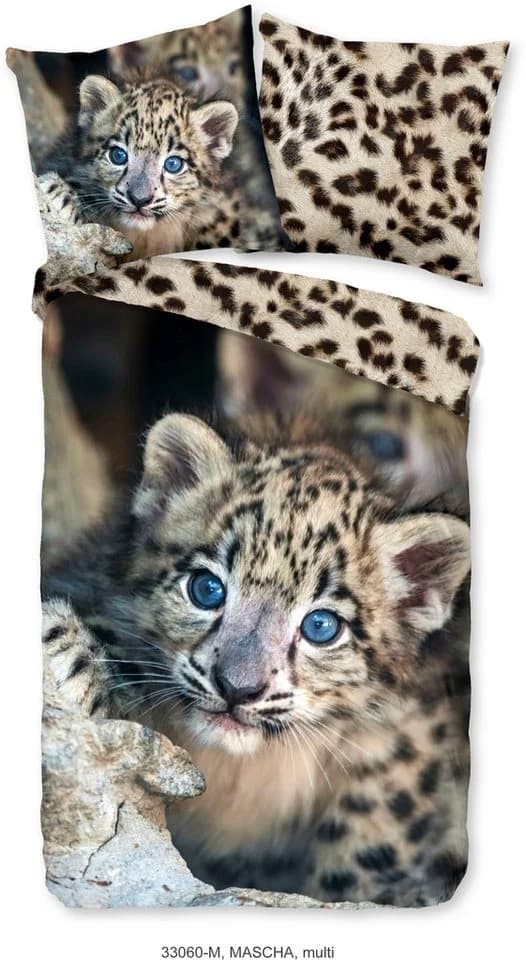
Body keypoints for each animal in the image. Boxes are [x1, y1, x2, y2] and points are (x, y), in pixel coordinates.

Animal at [44, 409, 471, 907]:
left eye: (321, 626)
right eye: (207, 588)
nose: (237, 688)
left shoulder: (403, 742)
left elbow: (379, 830)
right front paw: (71, 653)